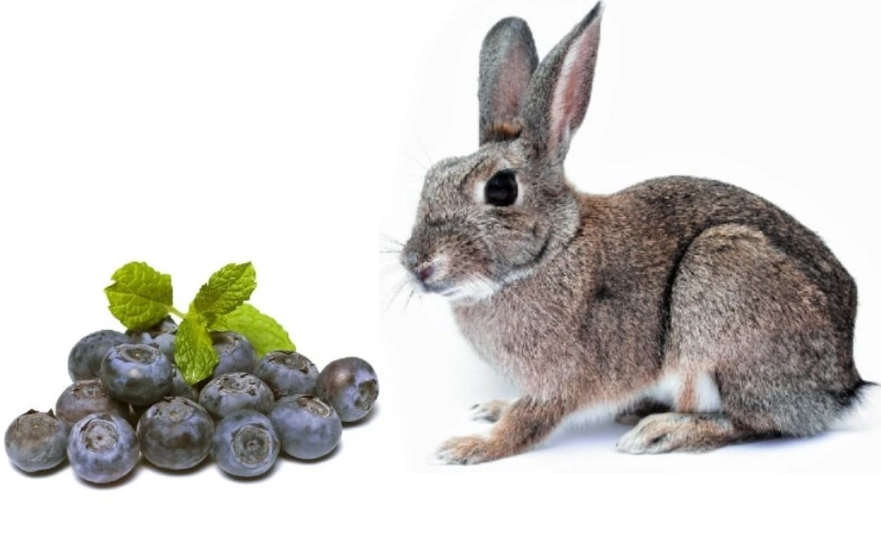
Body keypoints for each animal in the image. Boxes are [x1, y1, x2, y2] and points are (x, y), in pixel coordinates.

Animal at [400, 2, 872, 464]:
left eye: (501, 189)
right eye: (432, 177)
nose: (416, 264)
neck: (554, 250)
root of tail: (842, 388)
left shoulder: (560, 380)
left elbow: (529, 422)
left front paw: (470, 446)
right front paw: (492, 409)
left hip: (723, 290)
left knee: (752, 423)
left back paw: (663, 432)